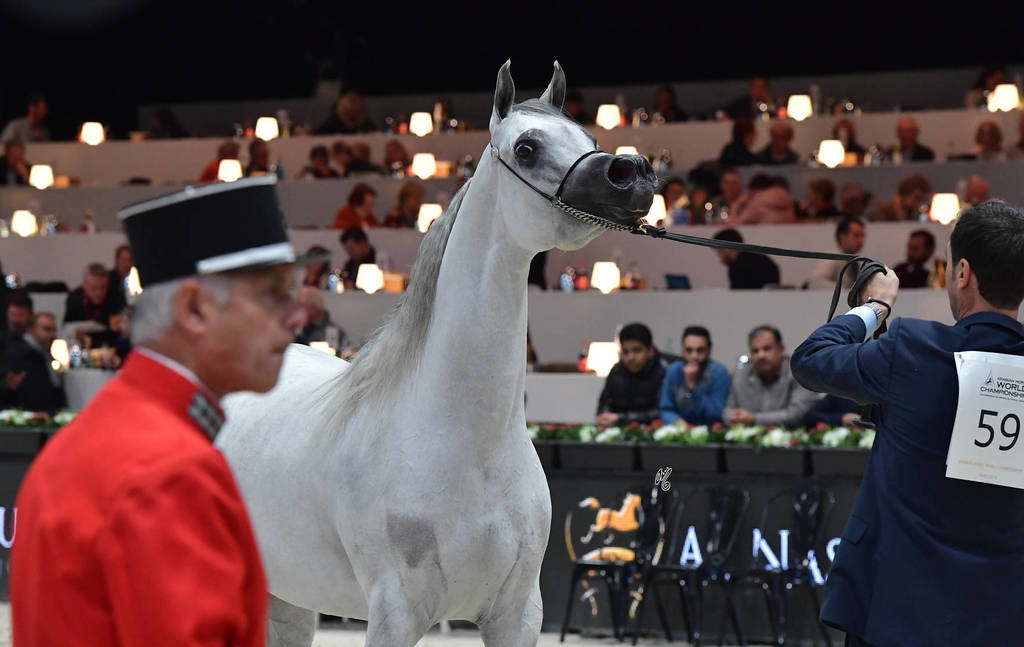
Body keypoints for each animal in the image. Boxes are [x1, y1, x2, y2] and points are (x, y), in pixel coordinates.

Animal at [216, 60, 657, 647]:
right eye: (526, 148)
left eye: (588, 139)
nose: (632, 174)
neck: (467, 442)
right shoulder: (396, 614)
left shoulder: (517, 614)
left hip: (288, 599)